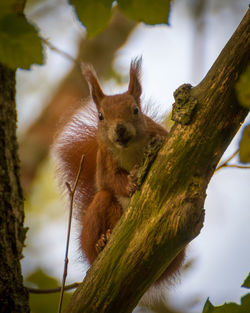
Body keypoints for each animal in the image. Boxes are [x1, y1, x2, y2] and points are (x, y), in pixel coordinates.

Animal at [53, 59, 186, 286]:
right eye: (100, 116)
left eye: (136, 110)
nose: (120, 129)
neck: (129, 148)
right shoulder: (105, 158)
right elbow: (108, 180)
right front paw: (130, 182)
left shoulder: (159, 131)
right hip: (99, 214)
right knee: (103, 199)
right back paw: (101, 243)